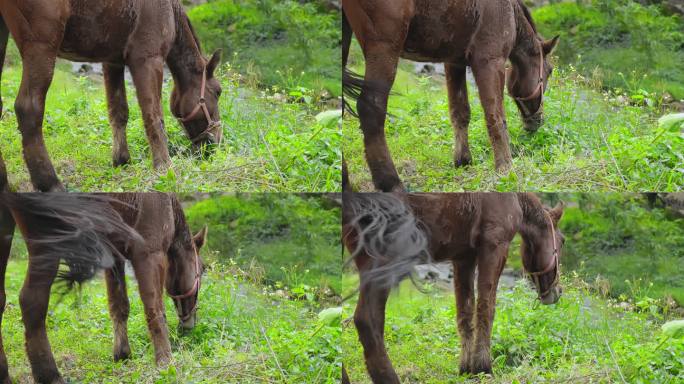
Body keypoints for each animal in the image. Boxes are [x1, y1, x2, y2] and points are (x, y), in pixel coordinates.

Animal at [0, 0, 222, 192]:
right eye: (218, 92)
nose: (217, 142)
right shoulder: (148, 60)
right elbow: (154, 117)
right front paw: (164, 167)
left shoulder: (112, 62)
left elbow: (119, 112)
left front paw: (122, 159)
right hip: (41, 45)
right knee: (28, 109)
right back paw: (49, 182)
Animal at [0, 194, 208, 382]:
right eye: (203, 269)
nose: (189, 325)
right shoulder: (148, 253)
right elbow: (154, 309)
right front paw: (165, 361)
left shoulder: (114, 254)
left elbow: (119, 306)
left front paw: (122, 354)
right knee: (31, 300)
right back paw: (49, 375)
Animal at [342, 0, 560, 192]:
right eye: (549, 71)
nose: (537, 121)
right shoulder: (490, 62)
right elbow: (496, 118)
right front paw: (505, 168)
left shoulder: (454, 63)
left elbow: (460, 112)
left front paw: (463, 160)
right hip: (384, 48)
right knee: (371, 108)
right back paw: (390, 181)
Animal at [344, 192, 564, 380]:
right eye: (561, 241)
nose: (558, 291)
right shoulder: (494, 247)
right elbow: (486, 310)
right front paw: (484, 367)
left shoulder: (463, 257)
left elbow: (465, 313)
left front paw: (466, 368)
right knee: (367, 320)